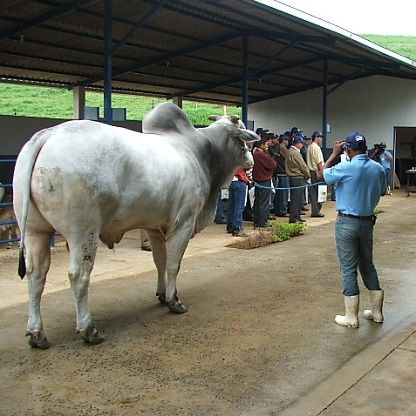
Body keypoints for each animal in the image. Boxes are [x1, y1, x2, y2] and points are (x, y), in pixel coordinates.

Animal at [13, 102, 258, 350]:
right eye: (243, 136)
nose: (251, 162)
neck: (201, 152)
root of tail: (49, 134)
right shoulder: (184, 223)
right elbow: (173, 264)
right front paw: (174, 301)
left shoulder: (154, 227)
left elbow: (160, 262)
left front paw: (162, 295)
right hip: (82, 232)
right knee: (78, 275)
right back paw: (89, 330)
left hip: (35, 231)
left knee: (36, 274)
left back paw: (37, 334)